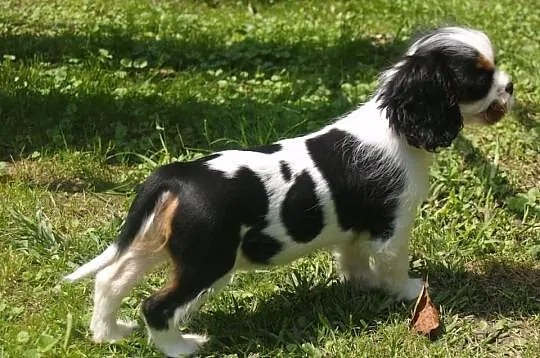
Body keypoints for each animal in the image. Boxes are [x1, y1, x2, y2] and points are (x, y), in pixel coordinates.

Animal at [65, 26, 512, 356]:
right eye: (480, 78)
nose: (510, 86)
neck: (397, 123)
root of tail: (175, 175)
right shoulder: (393, 225)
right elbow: (393, 266)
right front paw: (409, 292)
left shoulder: (356, 227)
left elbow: (352, 257)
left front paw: (361, 283)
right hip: (208, 261)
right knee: (156, 305)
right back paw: (181, 347)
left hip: (162, 244)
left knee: (110, 279)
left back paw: (109, 333)